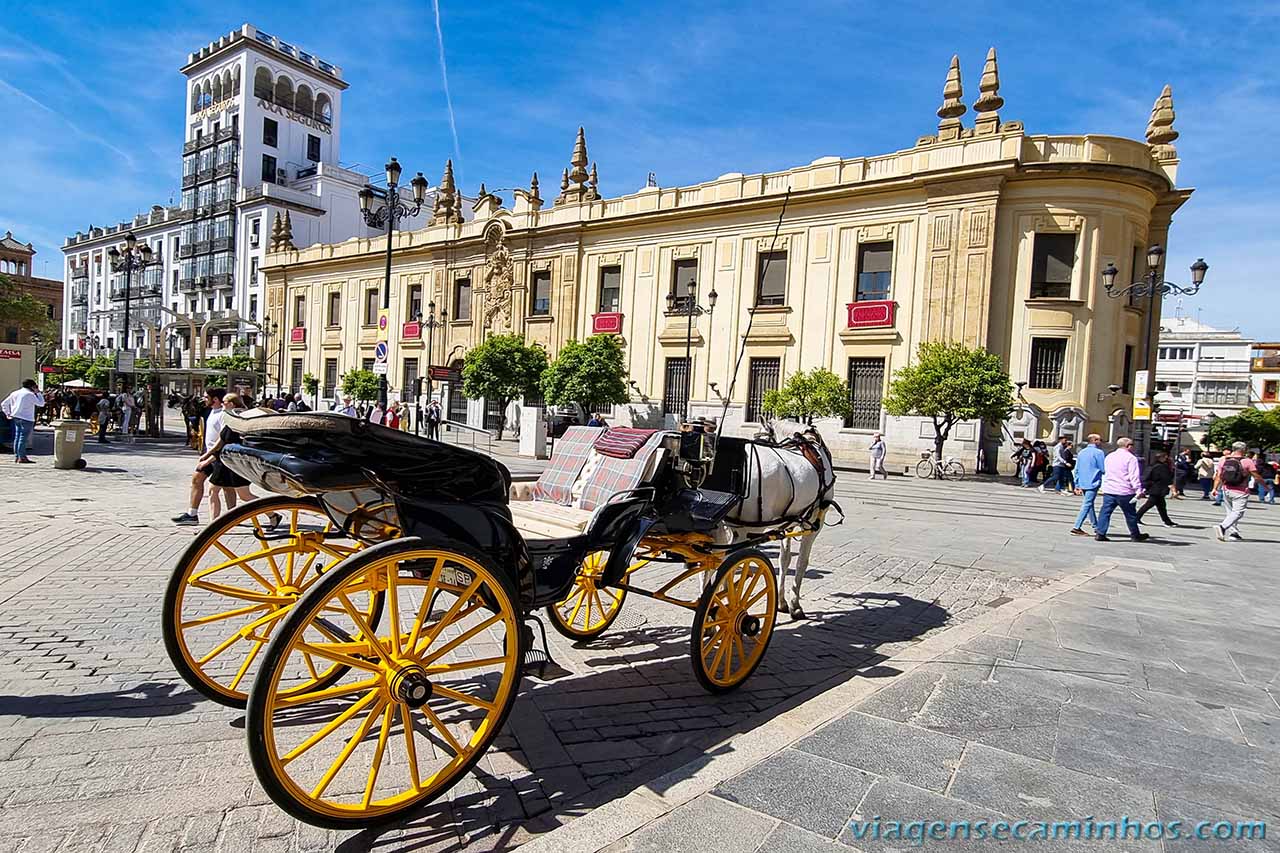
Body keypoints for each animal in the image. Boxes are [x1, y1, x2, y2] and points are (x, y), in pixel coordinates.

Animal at [732, 425, 839, 617]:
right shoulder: (814, 524)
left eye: (763, 437)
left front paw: (781, 601)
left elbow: (785, 559)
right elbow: (802, 562)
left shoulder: (787, 524)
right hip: (745, 531)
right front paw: (795, 604)